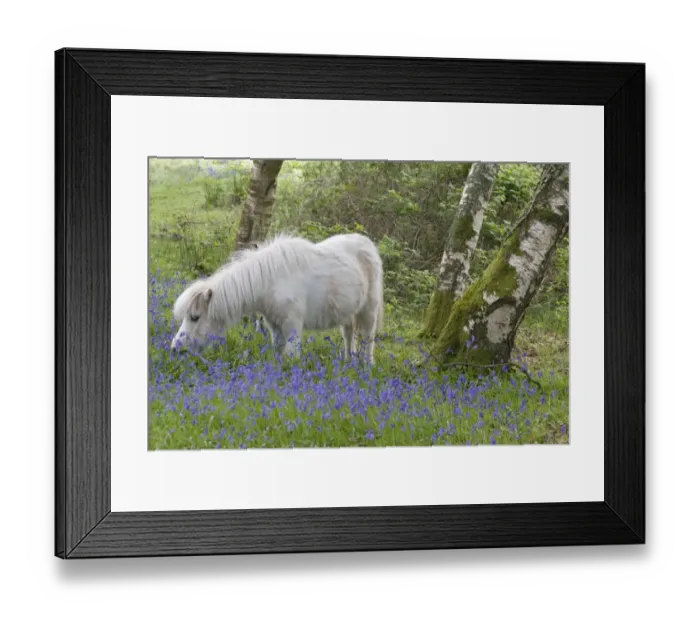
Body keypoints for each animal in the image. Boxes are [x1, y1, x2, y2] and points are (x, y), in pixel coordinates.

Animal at [170, 232, 384, 364]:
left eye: (195, 317)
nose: (175, 348)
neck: (270, 281)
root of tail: (367, 244)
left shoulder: (292, 326)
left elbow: (291, 355)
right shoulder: (275, 326)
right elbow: (279, 352)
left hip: (369, 310)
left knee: (368, 338)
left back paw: (367, 365)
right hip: (348, 313)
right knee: (349, 336)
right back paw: (348, 362)